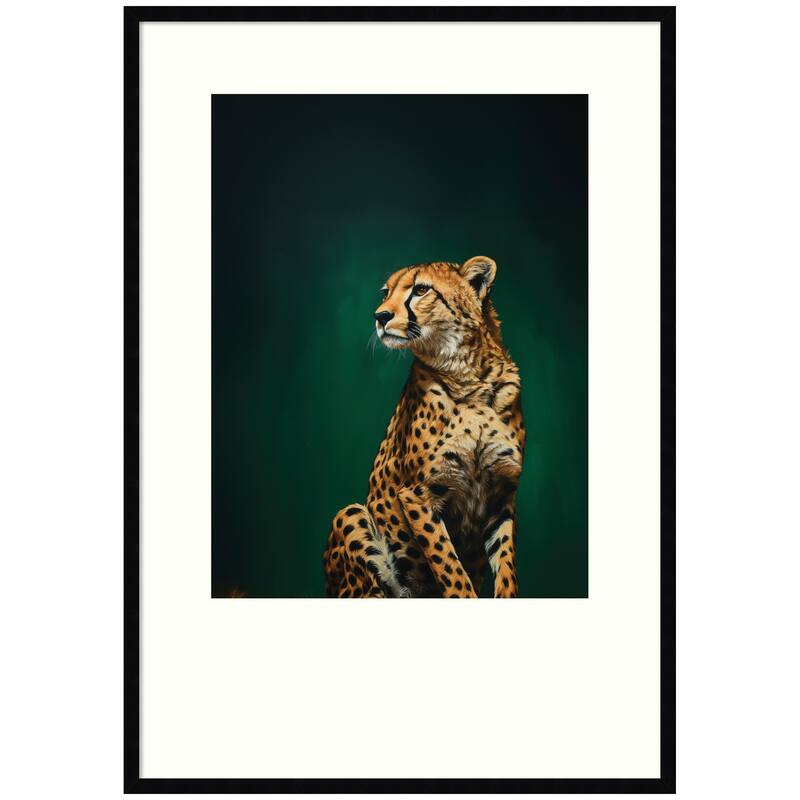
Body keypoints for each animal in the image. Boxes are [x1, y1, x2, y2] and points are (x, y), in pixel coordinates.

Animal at [323, 256, 525, 598]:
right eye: (386, 292)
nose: (380, 316)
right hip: (350, 516)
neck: (469, 376)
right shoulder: (417, 493)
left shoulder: (501, 495)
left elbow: (507, 568)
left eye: (420, 290)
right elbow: (449, 566)